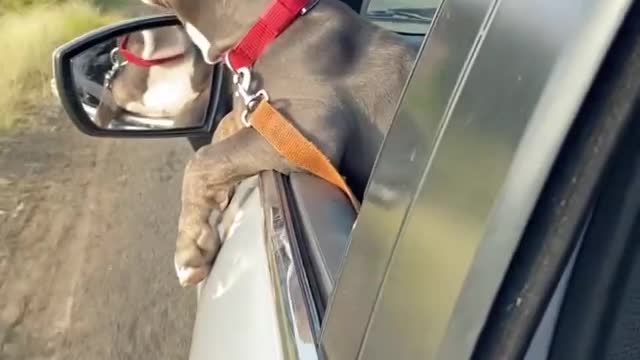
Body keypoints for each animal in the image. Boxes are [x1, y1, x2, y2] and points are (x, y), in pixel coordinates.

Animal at [142, 0, 418, 286]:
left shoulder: (309, 126)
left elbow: (203, 158)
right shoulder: (255, 109)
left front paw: (189, 251)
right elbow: (222, 131)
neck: (271, 26)